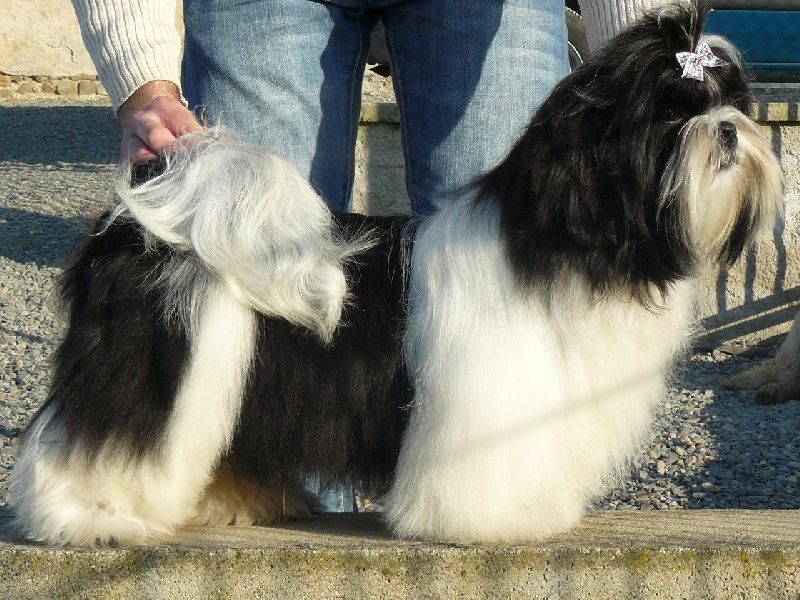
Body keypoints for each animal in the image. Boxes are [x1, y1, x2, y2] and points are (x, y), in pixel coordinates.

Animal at [11, 1, 782, 546]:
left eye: (730, 104)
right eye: (670, 117)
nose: (728, 129)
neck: (572, 240)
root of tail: (143, 221)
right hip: (156, 371)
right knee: (98, 443)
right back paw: (89, 517)